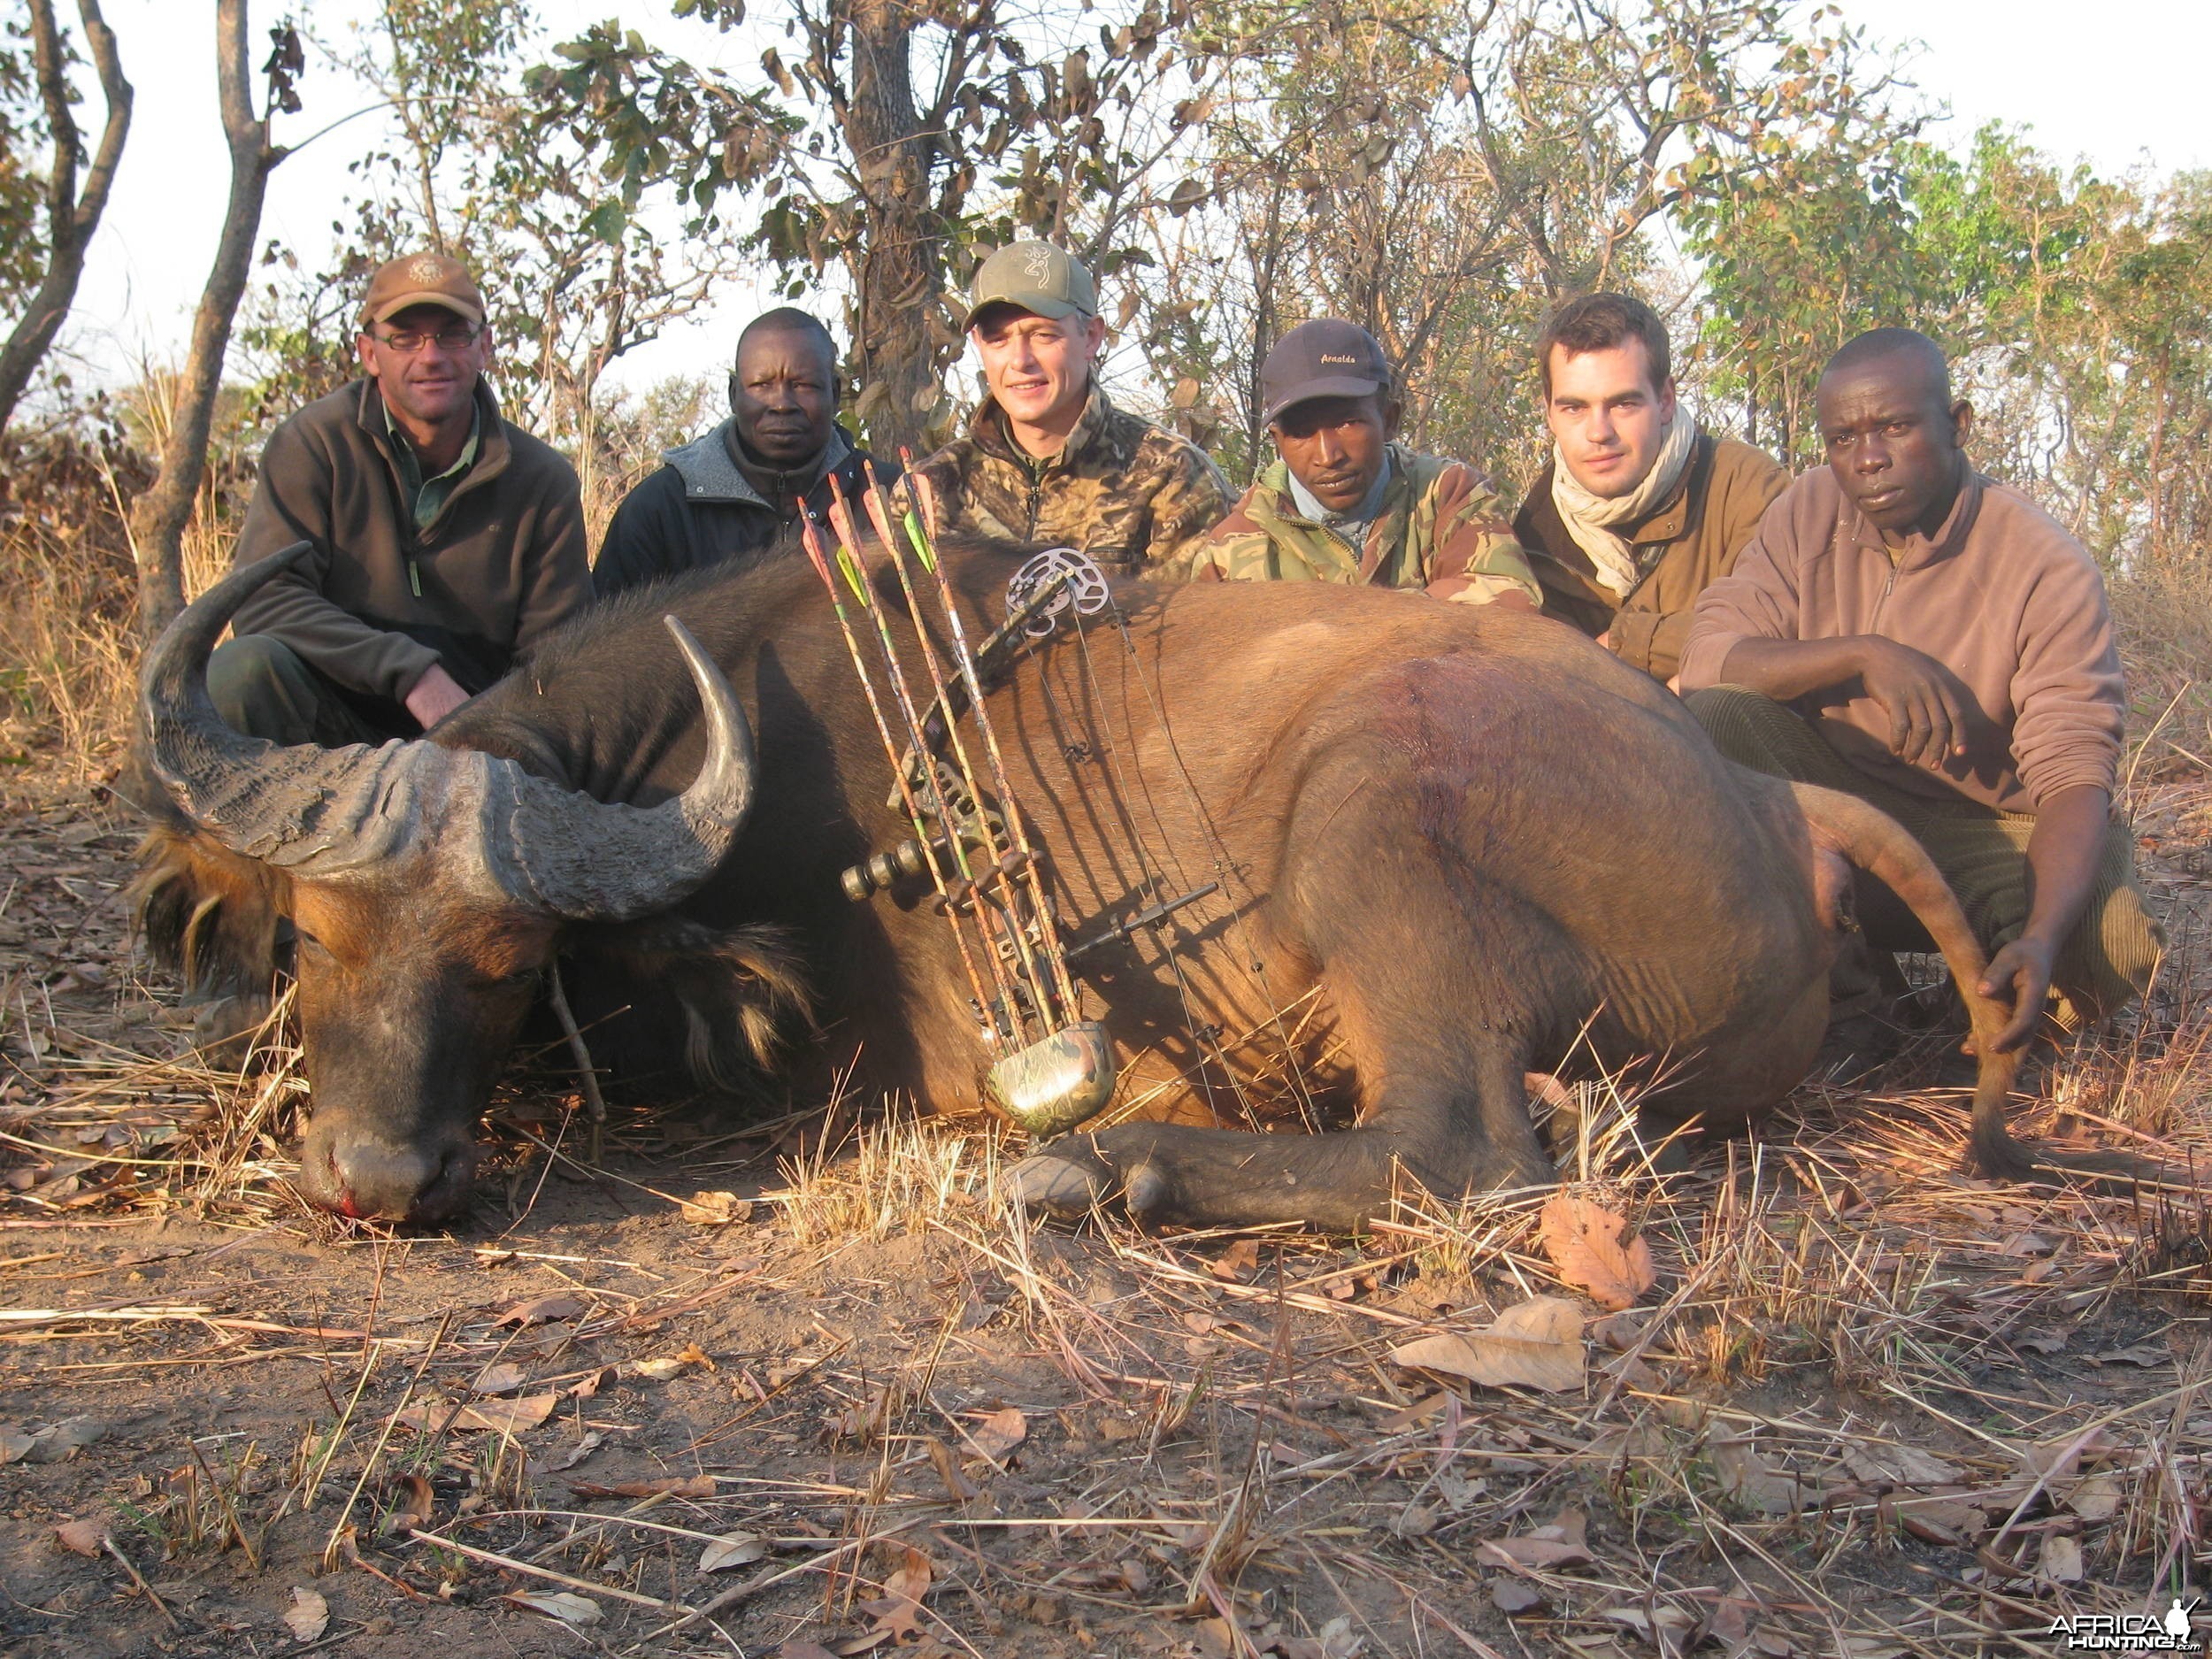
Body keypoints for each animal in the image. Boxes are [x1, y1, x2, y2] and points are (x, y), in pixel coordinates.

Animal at [138, 540, 2062, 1230]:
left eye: (499, 957)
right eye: (314, 939)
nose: (380, 1178)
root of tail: (1771, 807)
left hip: (1378, 825)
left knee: (1463, 1152)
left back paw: (1105, 1164)